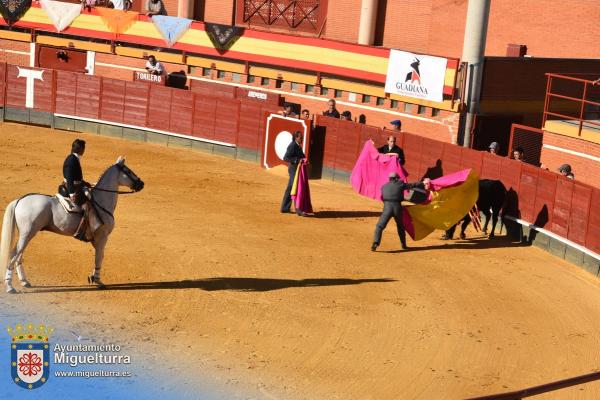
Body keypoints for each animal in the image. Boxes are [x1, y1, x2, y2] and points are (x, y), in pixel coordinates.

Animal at [0, 157, 144, 294]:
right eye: (128, 171)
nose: (141, 184)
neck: (101, 201)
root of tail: (20, 200)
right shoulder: (102, 236)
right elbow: (99, 257)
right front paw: (98, 281)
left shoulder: (96, 238)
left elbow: (99, 255)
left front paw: (93, 278)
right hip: (27, 234)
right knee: (14, 255)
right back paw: (10, 287)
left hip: (27, 235)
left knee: (18, 256)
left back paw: (25, 282)